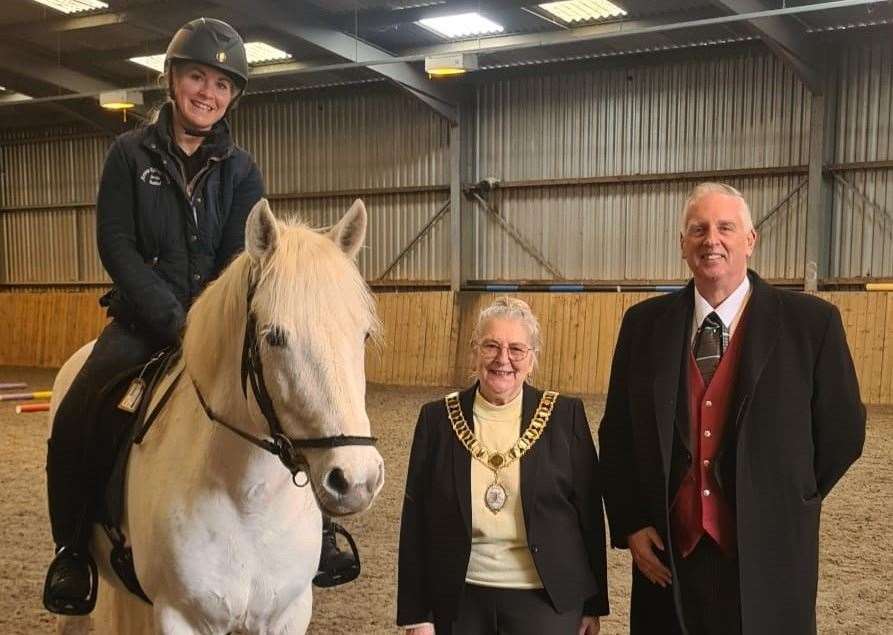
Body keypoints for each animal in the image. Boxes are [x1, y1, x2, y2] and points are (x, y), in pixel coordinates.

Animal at [49, 198, 384, 632]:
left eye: (363, 334)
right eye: (274, 337)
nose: (357, 480)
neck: (248, 500)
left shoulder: (288, 613)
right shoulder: (179, 616)